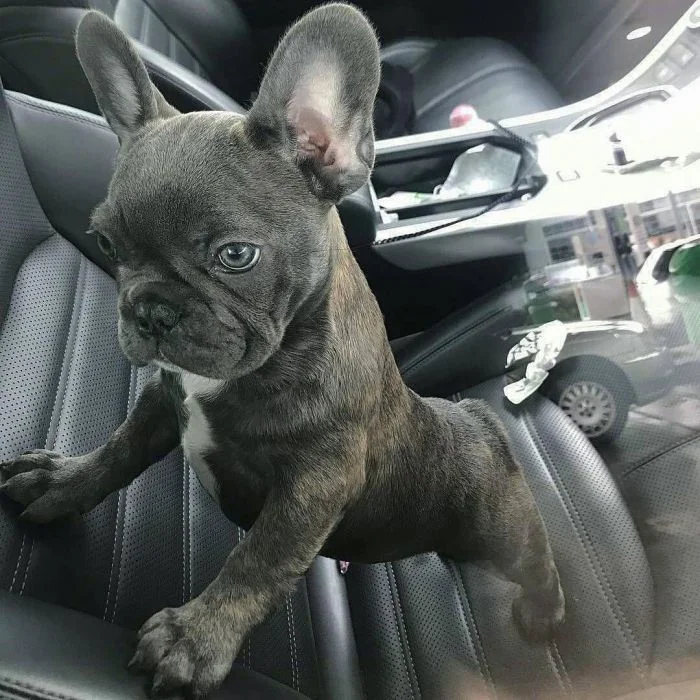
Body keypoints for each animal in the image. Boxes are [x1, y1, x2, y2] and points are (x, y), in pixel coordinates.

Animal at [0, 5, 564, 698]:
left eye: (235, 256)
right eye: (106, 244)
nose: (152, 309)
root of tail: (477, 418)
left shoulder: (314, 484)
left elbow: (259, 560)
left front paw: (195, 637)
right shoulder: (162, 402)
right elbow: (116, 453)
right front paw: (65, 482)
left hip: (495, 525)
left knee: (535, 554)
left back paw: (545, 612)